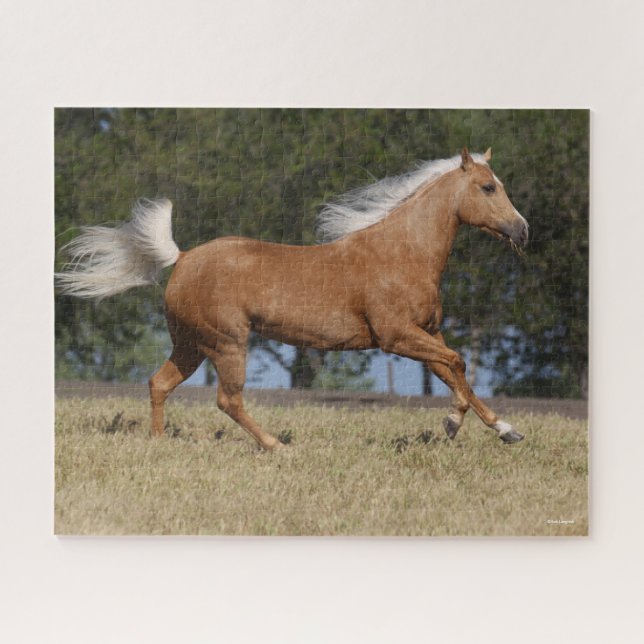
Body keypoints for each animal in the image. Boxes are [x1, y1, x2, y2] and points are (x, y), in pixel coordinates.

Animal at [56, 148, 529, 449]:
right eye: (488, 187)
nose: (523, 231)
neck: (401, 254)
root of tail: (183, 257)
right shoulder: (396, 337)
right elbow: (458, 366)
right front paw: (451, 424)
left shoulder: (426, 333)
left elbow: (456, 373)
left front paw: (507, 430)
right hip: (226, 343)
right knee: (228, 400)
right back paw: (276, 446)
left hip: (191, 344)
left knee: (160, 384)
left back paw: (158, 445)